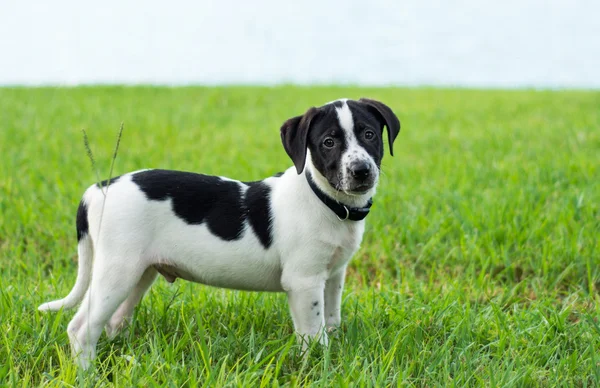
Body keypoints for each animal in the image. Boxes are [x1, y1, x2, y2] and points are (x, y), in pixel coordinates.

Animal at [39, 98, 400, 370]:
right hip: (117, 271)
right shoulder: (304, 282)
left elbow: (331, 319)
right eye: (328, 142)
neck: (325, 200)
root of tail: (96, 190)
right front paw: (318, 366)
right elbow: (313, 334)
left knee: (113, 322)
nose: (361, 171)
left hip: (139, 273)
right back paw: (88, 375)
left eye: (369, 134)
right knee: (81, 328)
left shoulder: (333, 276)